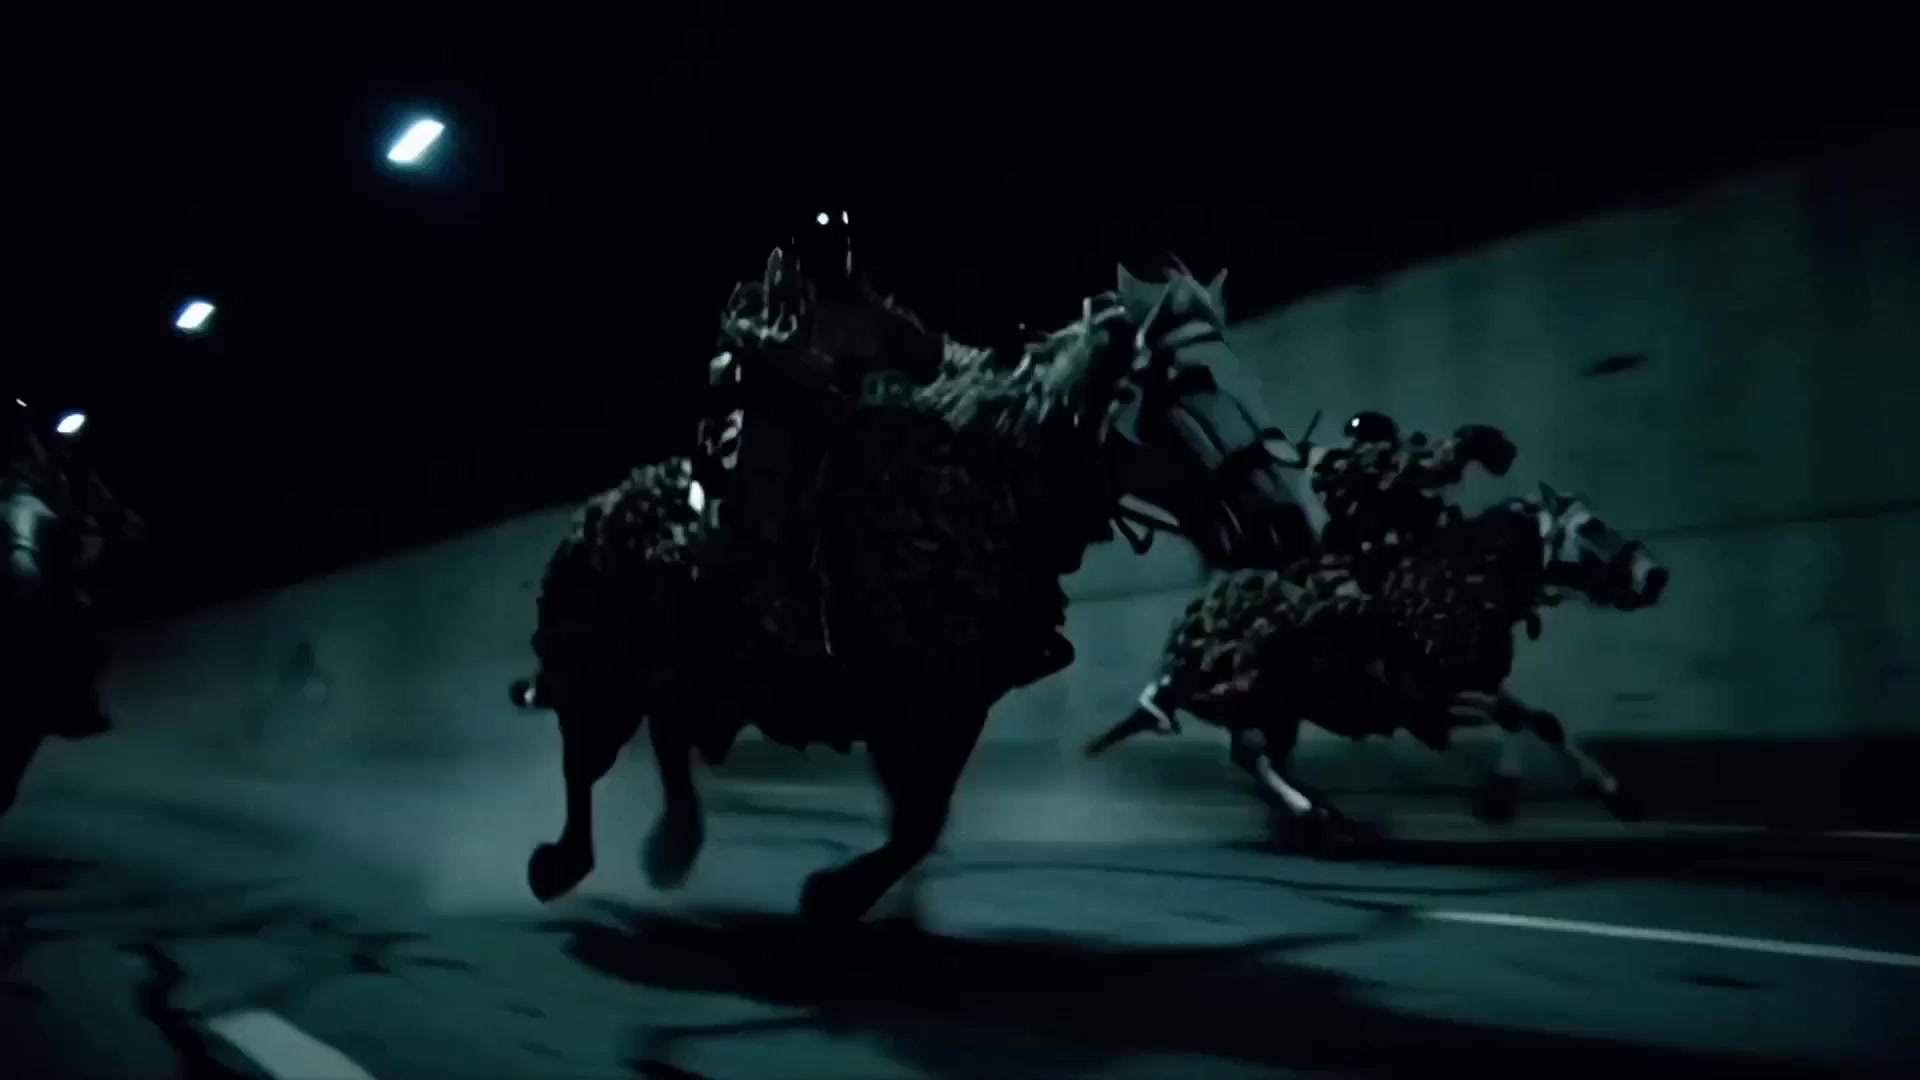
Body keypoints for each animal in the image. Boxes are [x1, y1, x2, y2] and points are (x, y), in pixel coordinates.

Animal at [509, 257, 1330, 925]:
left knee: (667, 736)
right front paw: (836, 896)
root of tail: (604, 508)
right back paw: (562, 865)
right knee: (584, 761)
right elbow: (916, 818)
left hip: (683, 673)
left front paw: (852, 897)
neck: (995, 482)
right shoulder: (902, 694)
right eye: (1189, 380)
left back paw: (670, 845)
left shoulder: (955, 700)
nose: (1291, 527)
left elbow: (922, 820)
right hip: (600, 670)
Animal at [1085, 482, 1669, 842]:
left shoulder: (1464, 688)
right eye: (1591, 527)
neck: (1466, 582)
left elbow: (1542, 719)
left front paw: (1619, 797)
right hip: (1256, 704)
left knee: (1264, 759)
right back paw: (1314, 816)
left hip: (1280, 712)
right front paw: (1498, 797)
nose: (1656, 576)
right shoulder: (1426, 701)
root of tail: (1177, 648)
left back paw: (1324, 815)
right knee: (1251, 757)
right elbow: (1514, 718)